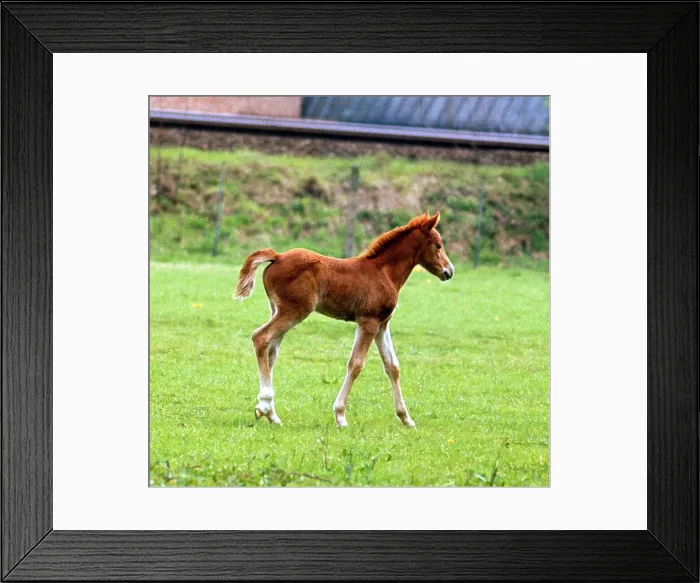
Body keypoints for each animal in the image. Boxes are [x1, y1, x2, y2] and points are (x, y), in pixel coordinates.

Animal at [234, 211, 454, 427]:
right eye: (438, 245)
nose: (449, 271)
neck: (384, 272)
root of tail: (277, 256)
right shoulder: (368, 321)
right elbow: (356, 364)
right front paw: (340, 416)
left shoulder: (382, 324)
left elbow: (392, 366)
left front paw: (406, 418)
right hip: (294, 311)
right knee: (260, 337)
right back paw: (264, 405)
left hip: (278, 310)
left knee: (271, 351)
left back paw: (271, 414)